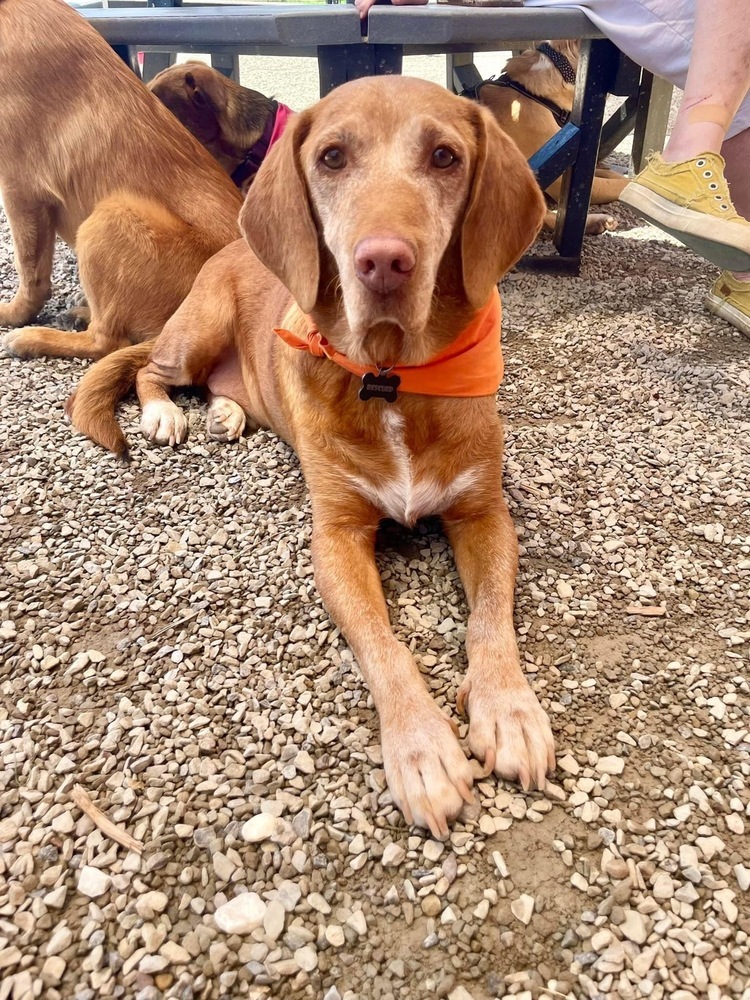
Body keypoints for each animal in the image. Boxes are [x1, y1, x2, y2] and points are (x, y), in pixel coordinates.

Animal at [0, 0, 241, 364]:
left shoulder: (21, 190)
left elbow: (29, 271)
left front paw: (13, 314)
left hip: (109, 215)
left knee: (106, 342)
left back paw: (35, 337)